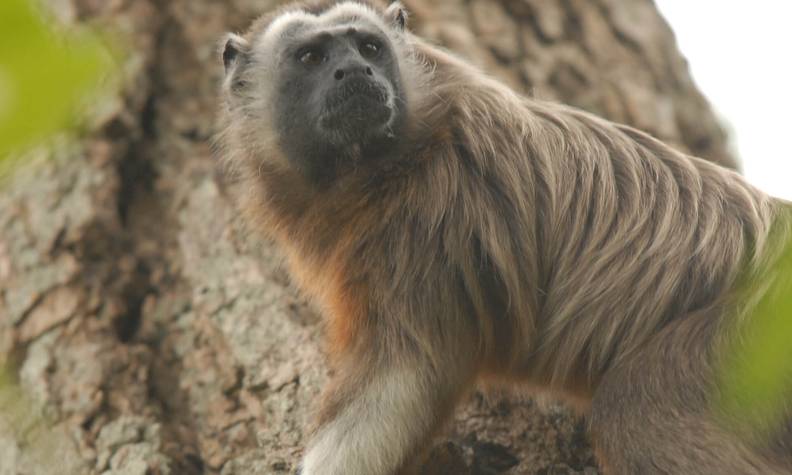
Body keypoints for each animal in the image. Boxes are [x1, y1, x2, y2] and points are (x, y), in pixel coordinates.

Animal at [215, 1, 792, 474]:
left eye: (368, 47)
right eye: (312, 58)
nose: (355, 70)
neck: (387, 164)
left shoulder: (429, 221)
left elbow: (402, 382)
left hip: (751, 339)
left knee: (639, 411)